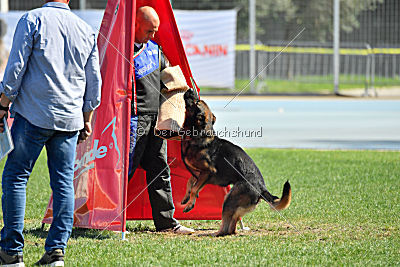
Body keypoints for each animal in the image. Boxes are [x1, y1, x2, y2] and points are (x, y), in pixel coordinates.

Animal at [180, 90, 290, 237]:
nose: (190, 90)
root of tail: (262, 188)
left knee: (227, 228)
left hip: (229, 200)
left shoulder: (208, 172)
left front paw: (190, 204)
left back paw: (212, 233)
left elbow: (194, 188)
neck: (199, 134)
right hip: (231, 200)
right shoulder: (197, 173)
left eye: (197, 102)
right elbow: (190, 183)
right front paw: (186, 198)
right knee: (231, 227)